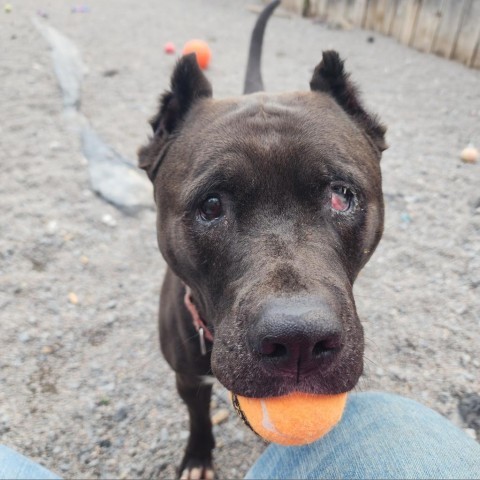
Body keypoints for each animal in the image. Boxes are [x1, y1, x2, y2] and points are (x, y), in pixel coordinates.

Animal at [138, 1, 386, 478]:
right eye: (211, 205)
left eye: (341, 195)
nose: (299, 341)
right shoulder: (187, 378)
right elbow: (198, 417)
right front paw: (198, 456)